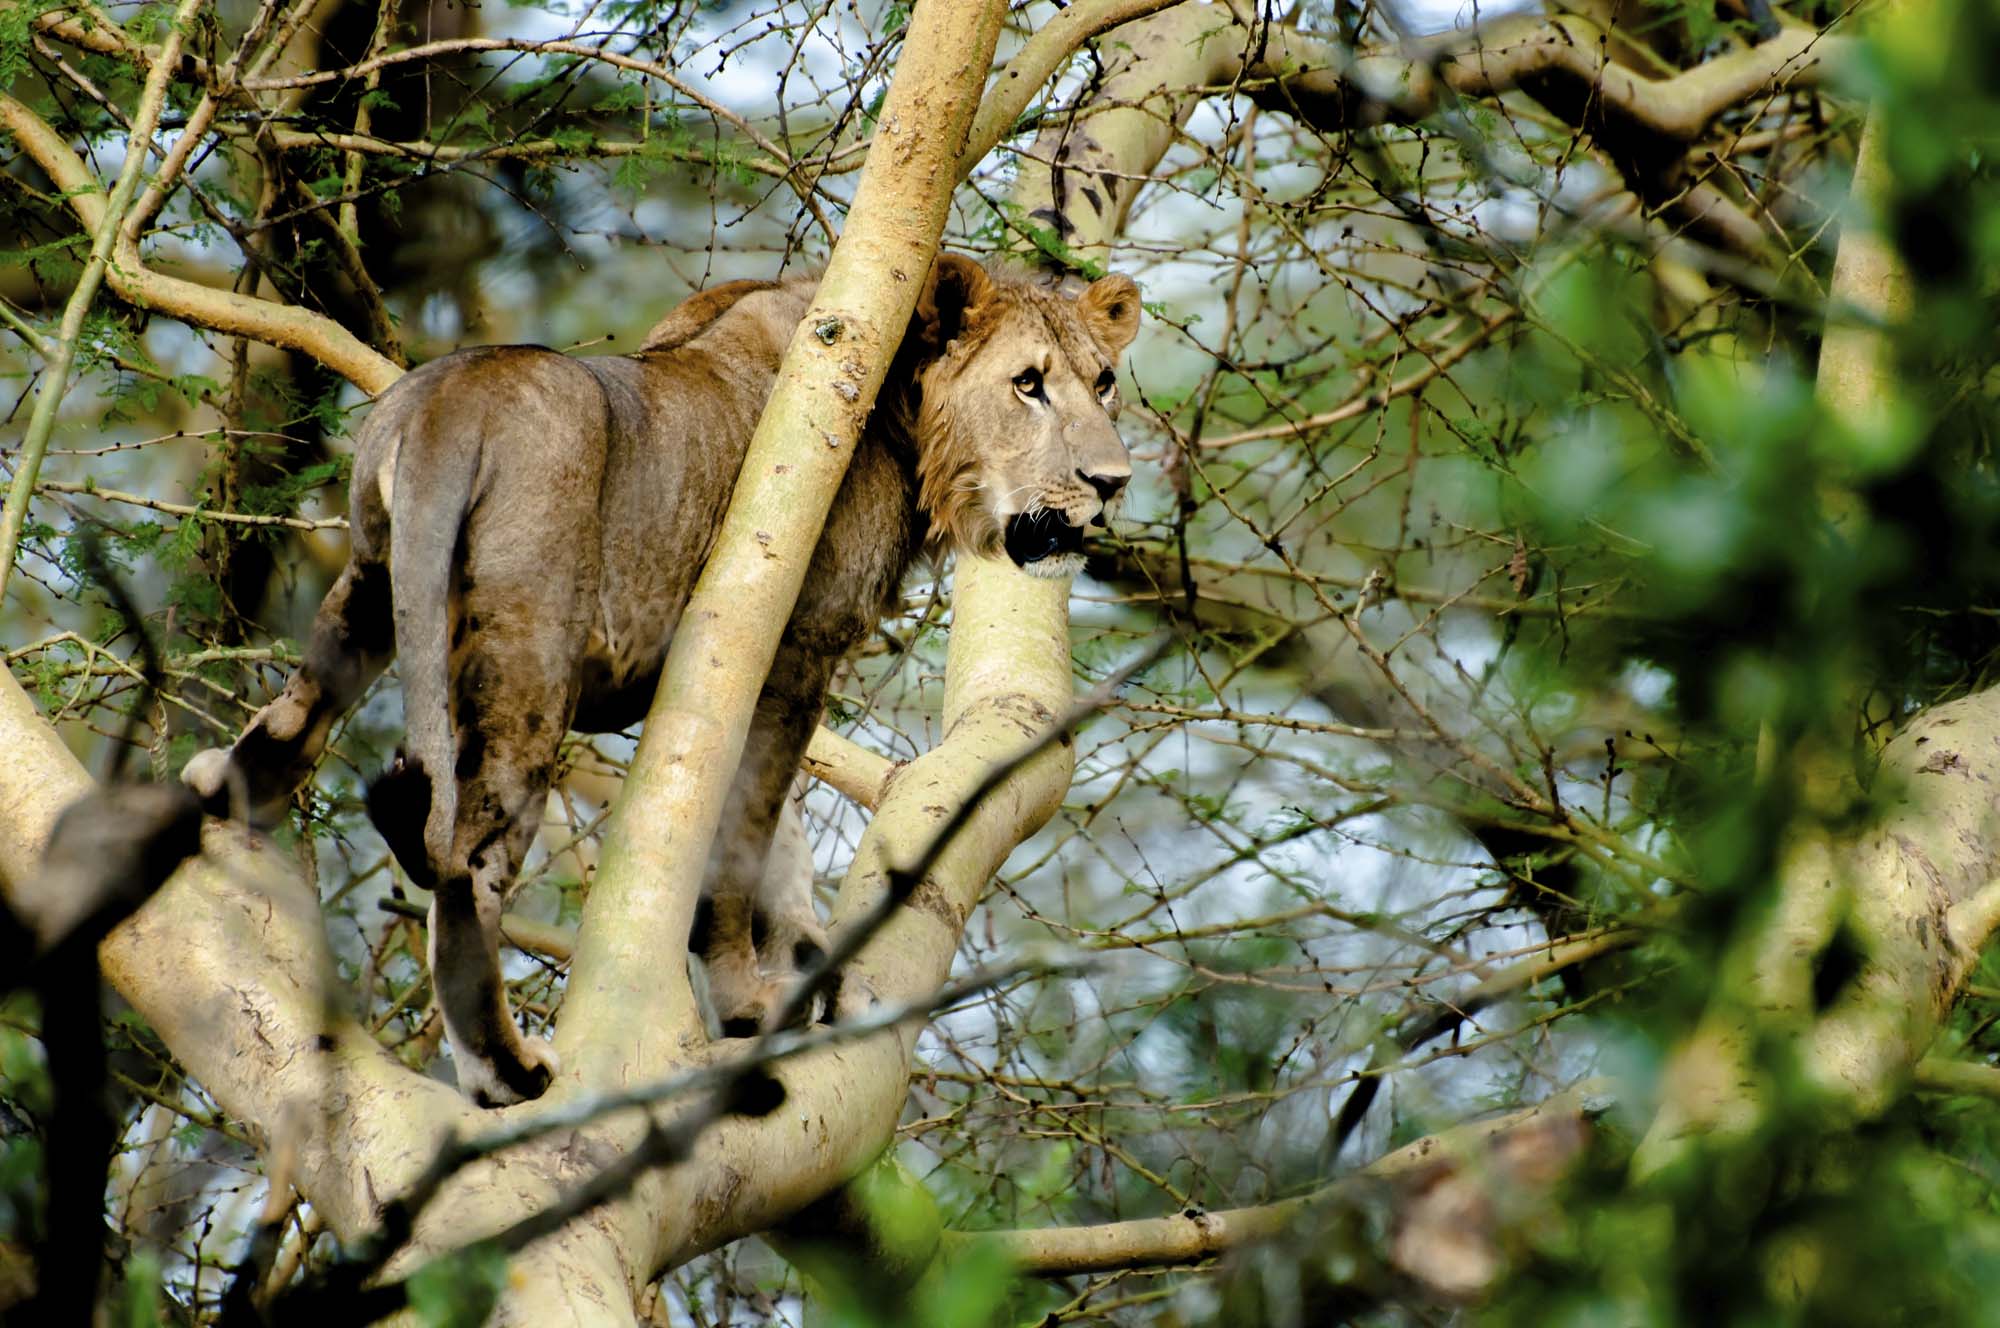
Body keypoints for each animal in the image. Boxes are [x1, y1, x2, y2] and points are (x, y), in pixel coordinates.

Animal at [181, 255, 1141, 1106]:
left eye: (1104, 383)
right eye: (1028, 384)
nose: (1113, 482)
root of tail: (453, 400)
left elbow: (782, 843)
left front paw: (811, 969)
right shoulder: (791, 645)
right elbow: (743, 842)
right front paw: (749, 1003)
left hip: (373, 583)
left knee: (293, 718)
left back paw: (219, 795)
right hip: (533, 652)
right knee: (466, 859)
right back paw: (507, 1072)